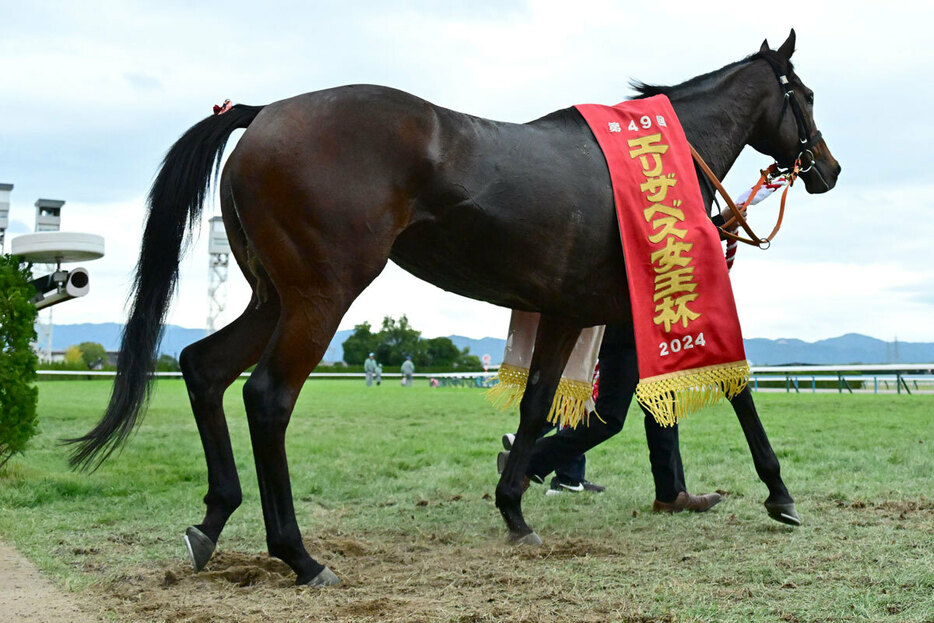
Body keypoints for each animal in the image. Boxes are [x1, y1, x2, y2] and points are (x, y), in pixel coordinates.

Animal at [71, 29, 840, 584]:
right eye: (803, 94)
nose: (828, 169)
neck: (652, 164)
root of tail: (266, 114)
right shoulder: (663, 301)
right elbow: (738, 387)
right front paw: (780, 493)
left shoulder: (573, 310)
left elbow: (540, 405)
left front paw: (515, 508)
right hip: (320, 295)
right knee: (267, 397)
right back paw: (299, 556)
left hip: (271, 297)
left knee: (203, 367)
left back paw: (211, 522)